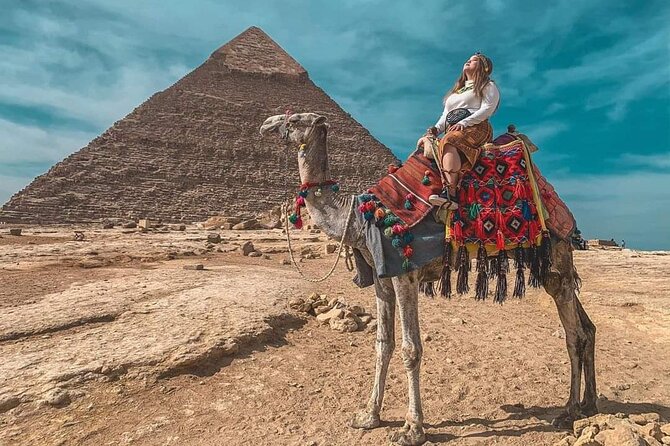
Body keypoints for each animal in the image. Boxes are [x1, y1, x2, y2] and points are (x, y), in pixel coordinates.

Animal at [260, 112, 597, 445]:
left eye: (294, 120)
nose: (266, 125)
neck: (357, 216)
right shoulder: (382, 279)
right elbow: (383, 343)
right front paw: (368, 416)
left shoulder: (405, 273)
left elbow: (411, 349)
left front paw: (412, 429)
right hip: (553, 266)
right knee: (588, 328)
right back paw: (589, 404)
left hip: (555, 255)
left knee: (574, 334)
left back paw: (568, 411)